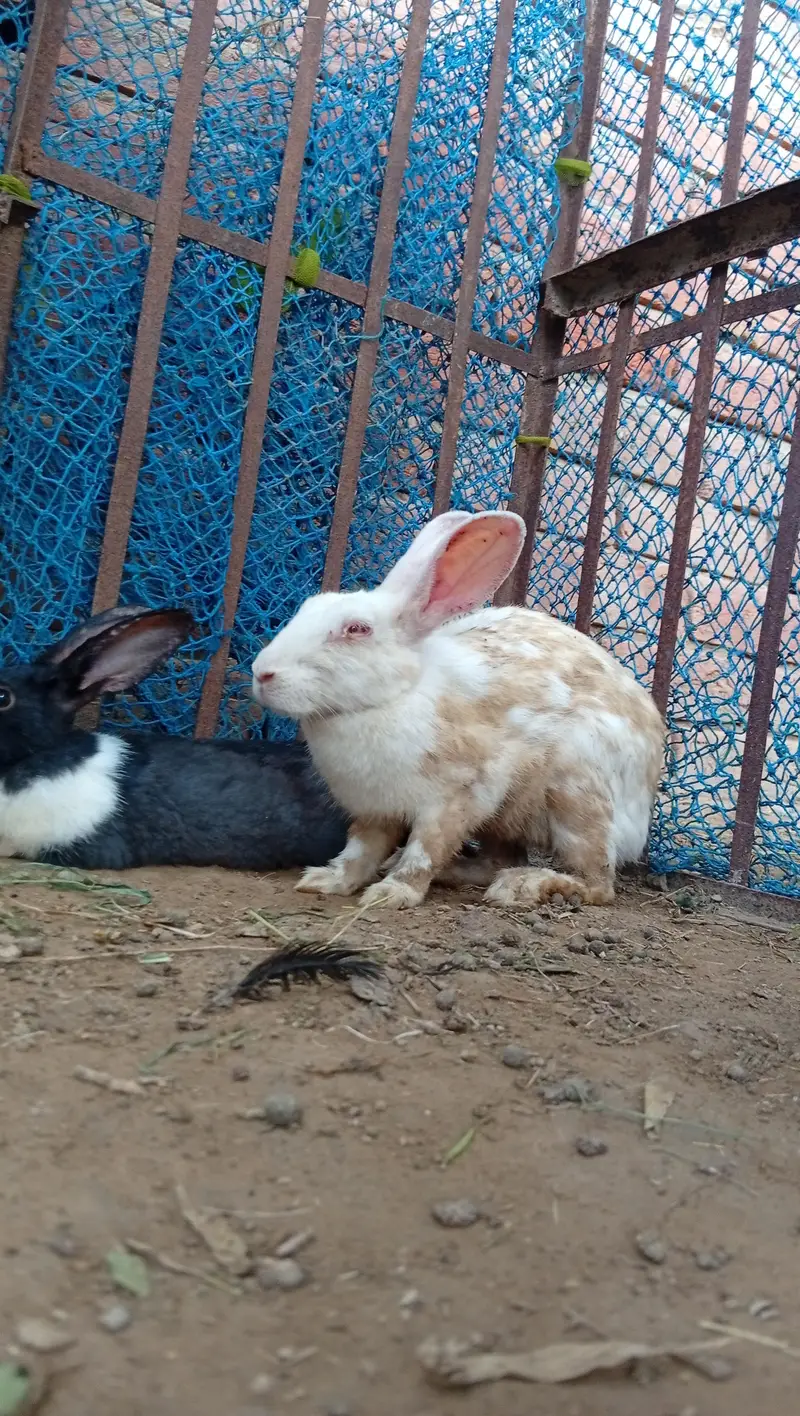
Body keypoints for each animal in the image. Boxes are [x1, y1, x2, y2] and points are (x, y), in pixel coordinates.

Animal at [251, 510, 665, 910]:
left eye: (356, 629)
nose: (262, 673)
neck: (394, 697)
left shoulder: (455, 798)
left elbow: (424, 851)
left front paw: (392, 894)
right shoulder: (375, 811)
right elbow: (360, 850)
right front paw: (327, 881)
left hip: (577, 796)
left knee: (597, 882)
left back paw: (525, 887)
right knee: (498, 861)